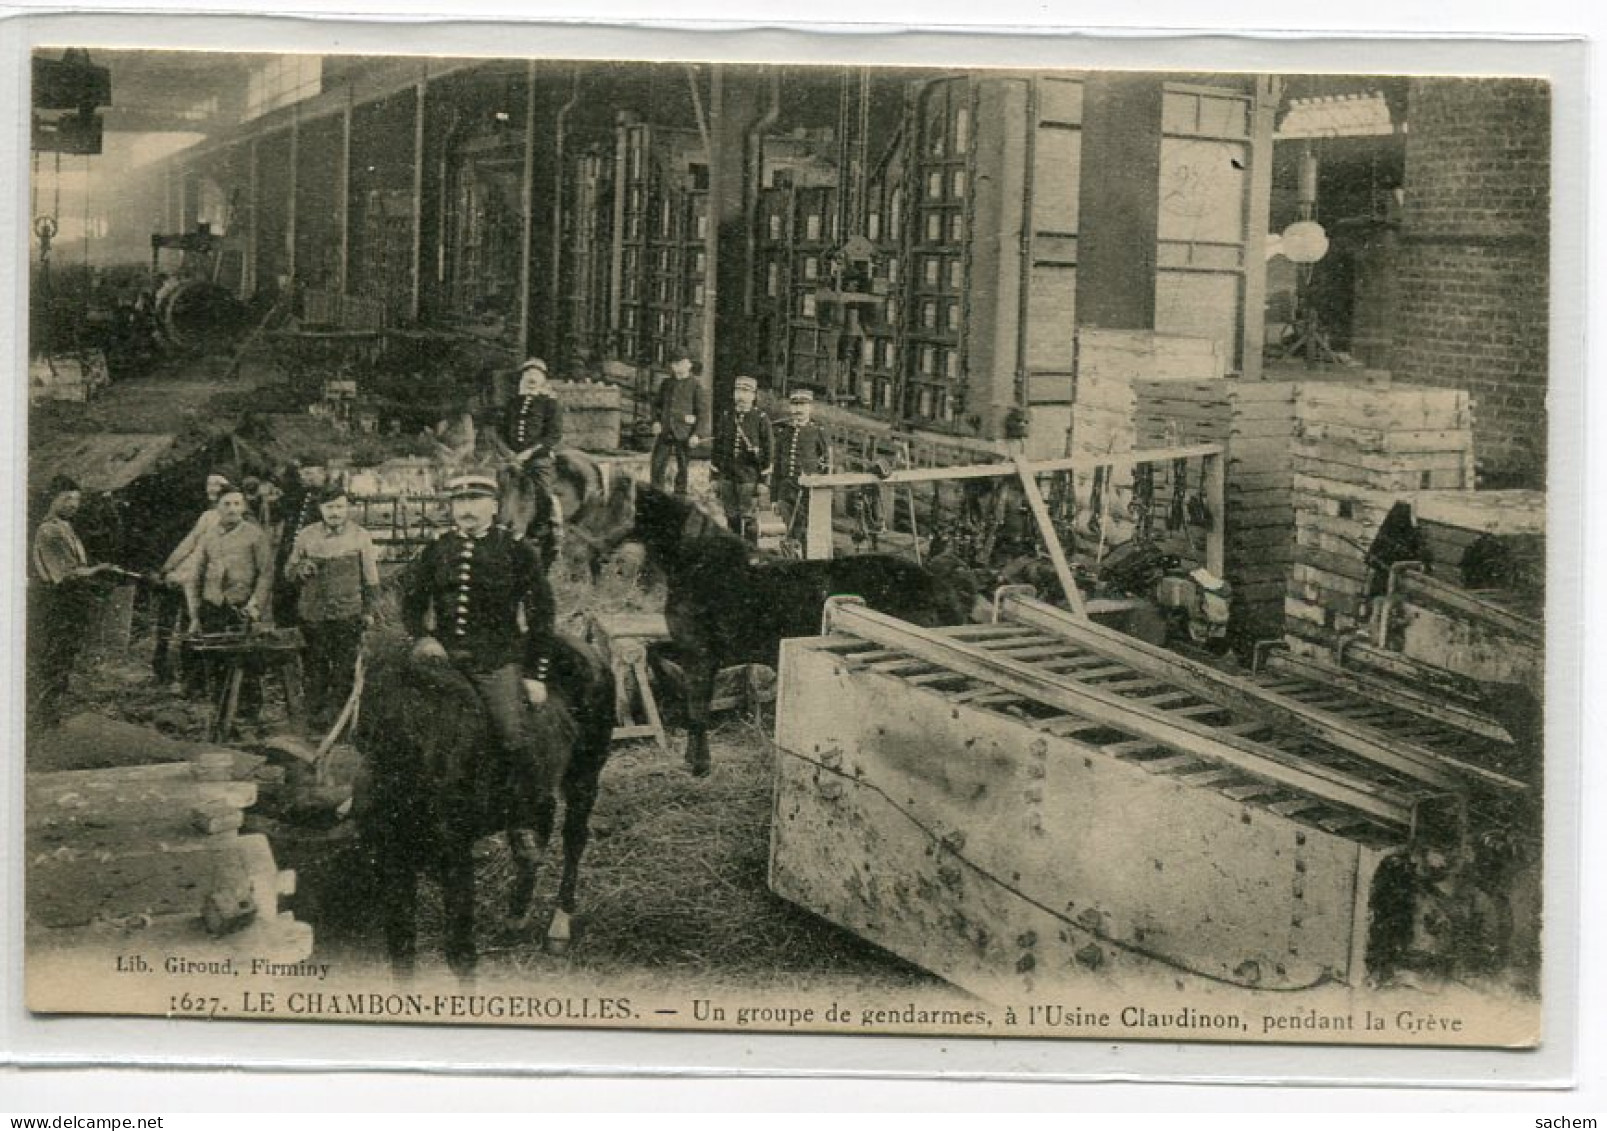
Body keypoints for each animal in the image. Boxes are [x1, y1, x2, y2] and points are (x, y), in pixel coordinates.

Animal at [355, 626, 617, 983]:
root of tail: (590, 652)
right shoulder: (393, 860)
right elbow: (402, 954)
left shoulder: (456, 859)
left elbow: (461, 955)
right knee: (539, 826)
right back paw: (516, 916)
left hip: (585, 775)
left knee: (574, 839)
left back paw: (559, 927)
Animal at [581, 475, 977, 777]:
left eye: (612, 509)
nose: (587, 548)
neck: (701, 567)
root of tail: (939, 586)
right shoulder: (696, 651)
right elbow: (656, 659)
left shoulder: (702, 655)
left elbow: (697, 707)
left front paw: (699, 765)